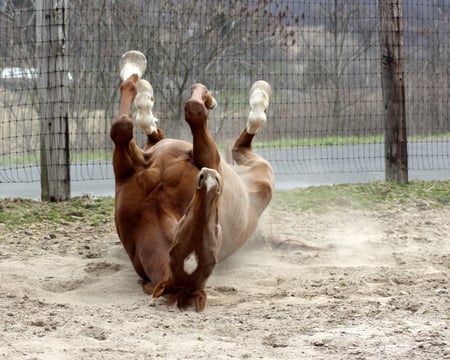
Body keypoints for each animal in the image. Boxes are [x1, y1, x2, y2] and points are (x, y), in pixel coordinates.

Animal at [110, 74, 274, 310]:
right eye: (178, 246)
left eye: (212, 258)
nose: (210, 179)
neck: (156, 210)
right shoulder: (127, 169)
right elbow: (122, 127)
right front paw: (133, 82)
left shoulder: (208, 156)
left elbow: (193, 110)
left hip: (259, 171)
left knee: (241, 141)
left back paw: (256, 95)